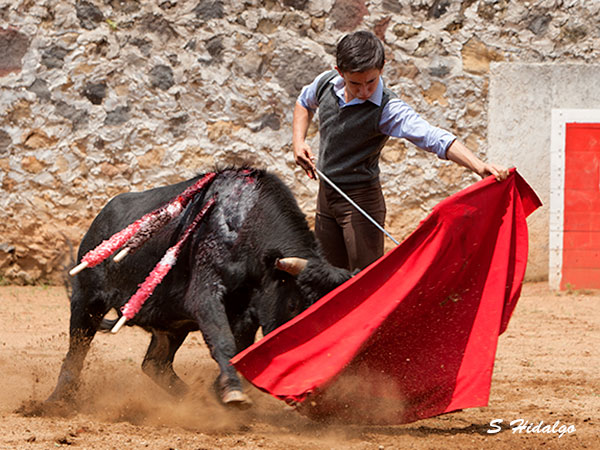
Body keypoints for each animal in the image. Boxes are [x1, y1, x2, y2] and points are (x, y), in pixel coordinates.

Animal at [49, 169, 354, 408]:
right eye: (293, 304)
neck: (245, 225)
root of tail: (99, 220)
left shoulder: (244, 312)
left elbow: (240, 350)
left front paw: (217, 392)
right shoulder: (205, 295)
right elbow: (224, 341)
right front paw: (232, 393)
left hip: (172, 324)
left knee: (155, 364)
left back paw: (193, 400)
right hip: (87, 300)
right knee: (76, 349)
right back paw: (57, 401)